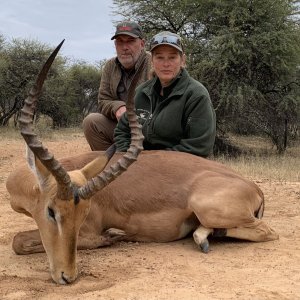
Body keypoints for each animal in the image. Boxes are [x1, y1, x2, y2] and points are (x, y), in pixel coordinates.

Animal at [6, 41, 278, 284]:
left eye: (84, 213)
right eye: (50, 211)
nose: (67, 276)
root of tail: (255, 188)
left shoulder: (90, 229)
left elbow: (19, 240)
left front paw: (113, 235)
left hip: (207, 207)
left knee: (268, 231)